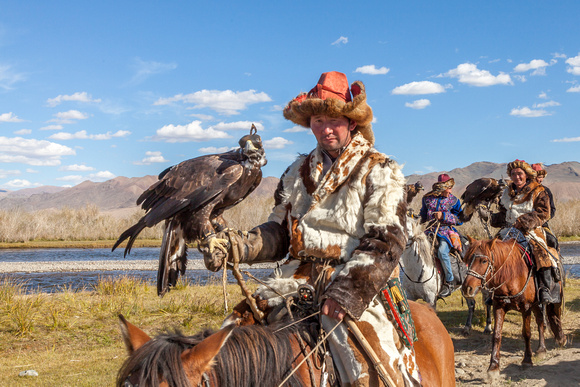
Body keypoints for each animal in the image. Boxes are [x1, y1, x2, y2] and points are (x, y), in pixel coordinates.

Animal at [460, 236, 564, 382]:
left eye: (484, 261)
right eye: (468, 260)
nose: (466, 288)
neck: (510, 275)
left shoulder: (526, 308)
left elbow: (526, 333)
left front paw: (527, 360)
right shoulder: (499, 307)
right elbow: (496, 335)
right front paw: (493, 367)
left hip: (550, 302)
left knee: (552, 317)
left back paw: (557, 341)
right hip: (536, 305)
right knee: (540, 321)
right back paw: (541, 349)